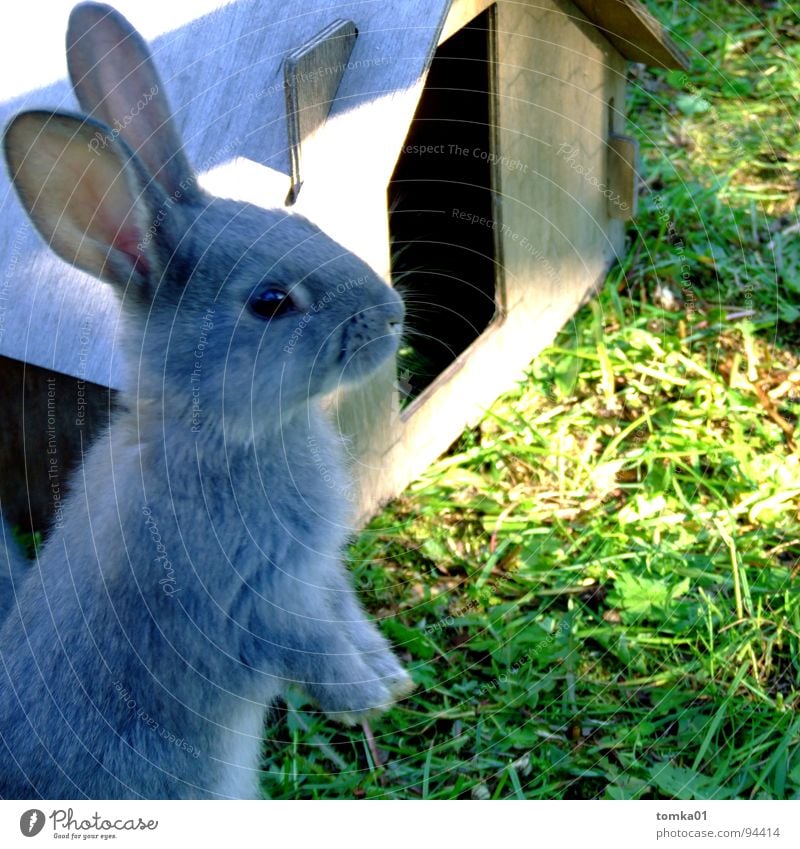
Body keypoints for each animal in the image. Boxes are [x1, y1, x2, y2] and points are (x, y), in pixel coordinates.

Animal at [0, 0, 412, 800]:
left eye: (302, 221)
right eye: (270, 301)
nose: (390, 315)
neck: (223, 434)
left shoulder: (317, 575)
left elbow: (344, 615)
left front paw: (389, 675)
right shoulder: (247, 597)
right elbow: (307, 644)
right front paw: (365, 699)